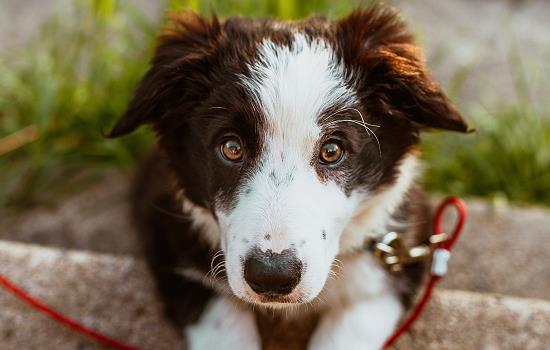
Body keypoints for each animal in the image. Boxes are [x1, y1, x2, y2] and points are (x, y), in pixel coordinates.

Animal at [108, 3, 470, 350]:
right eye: (231, 148)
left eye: (332, 151)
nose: (272, 278)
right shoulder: (169, 237)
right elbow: (222, 324)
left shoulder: (395, 258)